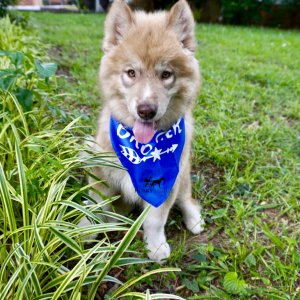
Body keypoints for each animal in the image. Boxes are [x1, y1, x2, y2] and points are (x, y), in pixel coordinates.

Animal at [80, 0, 204, 262]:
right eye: (131, 73)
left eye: (166, 74)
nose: (146, 110)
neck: (143, 148)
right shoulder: (100, 169)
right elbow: (97, 203)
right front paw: (87, 228)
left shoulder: (167, 184)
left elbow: (156, 220)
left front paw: (155, 246)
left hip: (183, 174)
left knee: (187, 199)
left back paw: (194, 220)